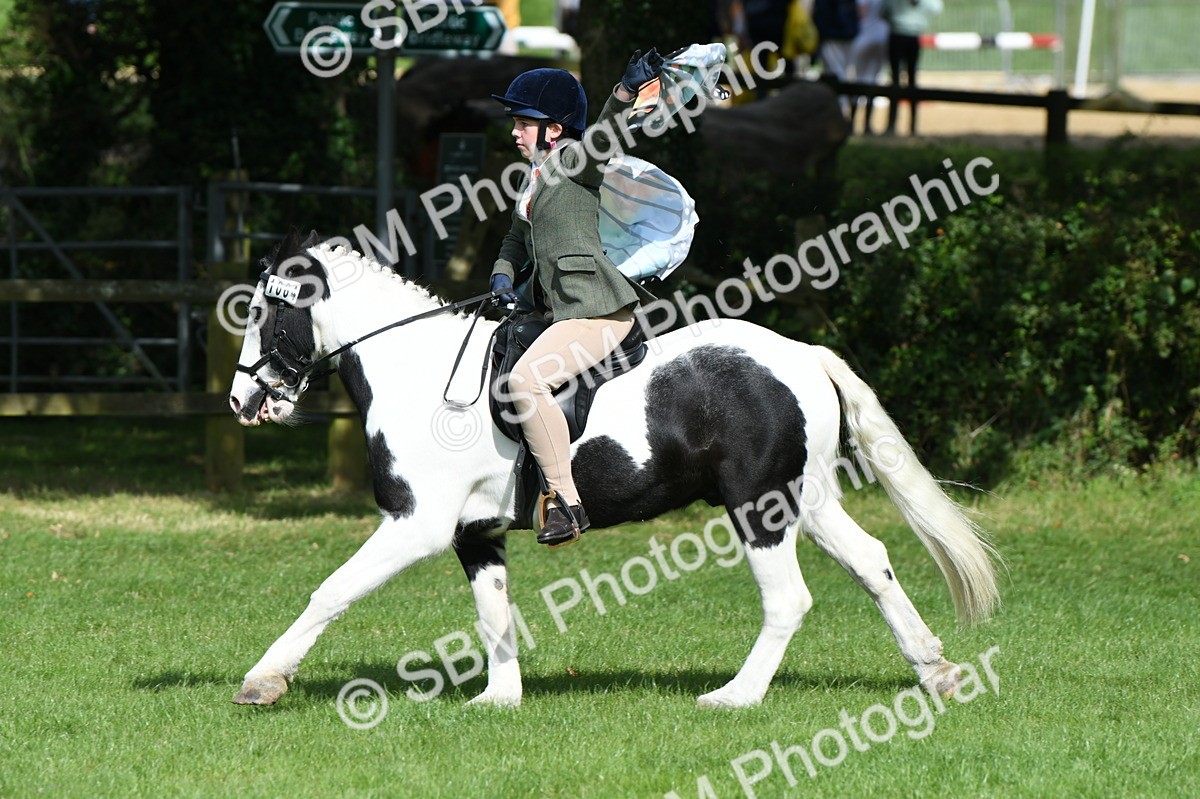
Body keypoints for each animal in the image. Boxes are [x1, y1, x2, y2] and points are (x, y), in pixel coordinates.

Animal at [227, 228, 999, 708]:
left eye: (264, 309)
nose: (242, 400)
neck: (418, 374)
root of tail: (801, 352)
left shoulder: (415, 524)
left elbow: (330, 591)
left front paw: (264, 680)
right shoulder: (475, 532)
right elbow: (494, 614)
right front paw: (499, 698)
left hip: (758, 505)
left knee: (788, 598)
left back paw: (735, 697)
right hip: (804, 499)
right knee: (872, 561)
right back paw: (935, 670)